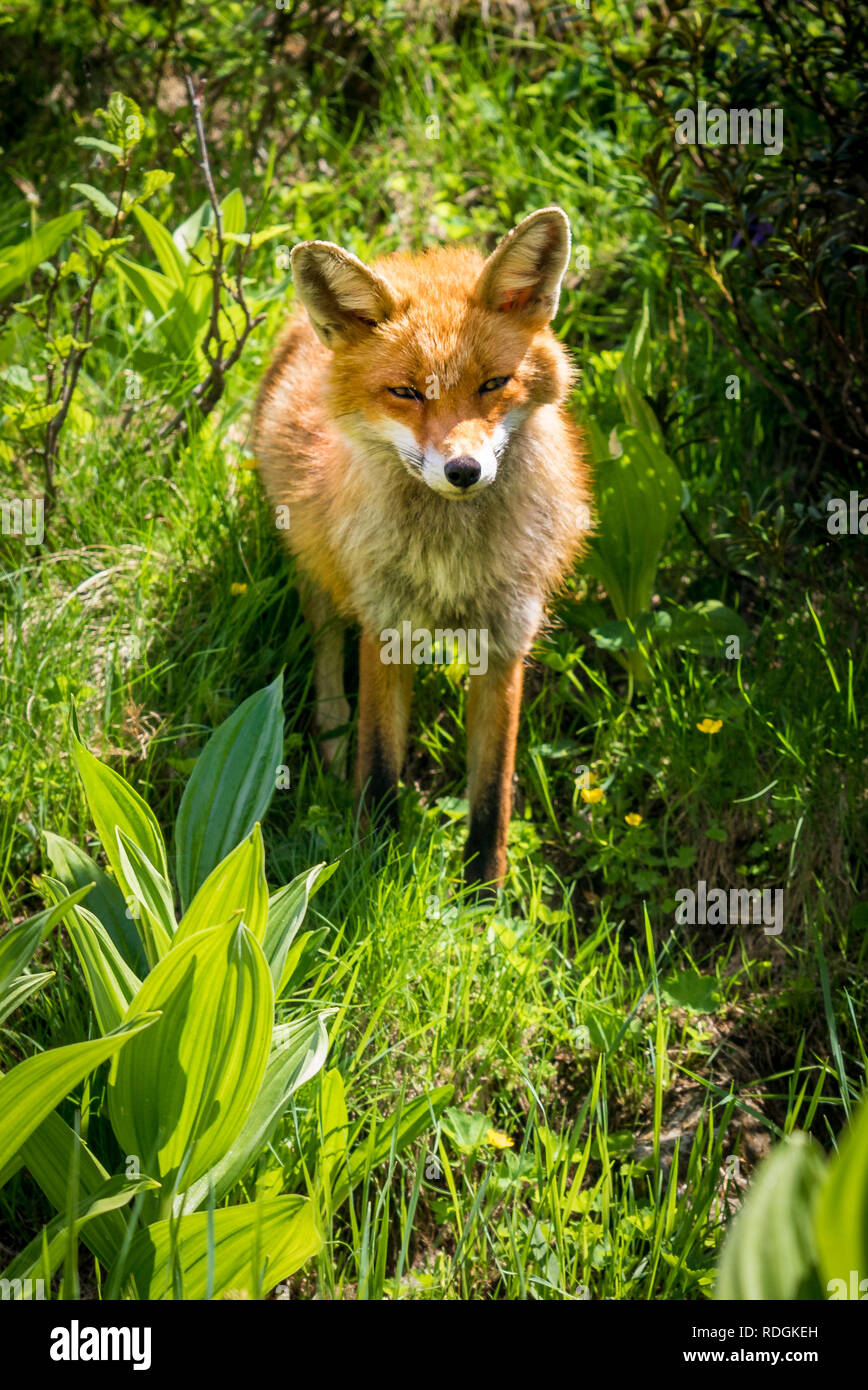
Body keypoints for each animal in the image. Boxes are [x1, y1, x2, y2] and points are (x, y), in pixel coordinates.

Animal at [250, 205, 589, 889]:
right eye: (407, 392)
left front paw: (484, 895)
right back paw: (333, 737)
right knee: (325, 646)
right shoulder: (384, 629)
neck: (450, 566)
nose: (463, 470)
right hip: (317, 569)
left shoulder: (506, 641)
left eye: (494, 384)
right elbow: (380, 769)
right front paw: (369, 865)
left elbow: (492, 794)